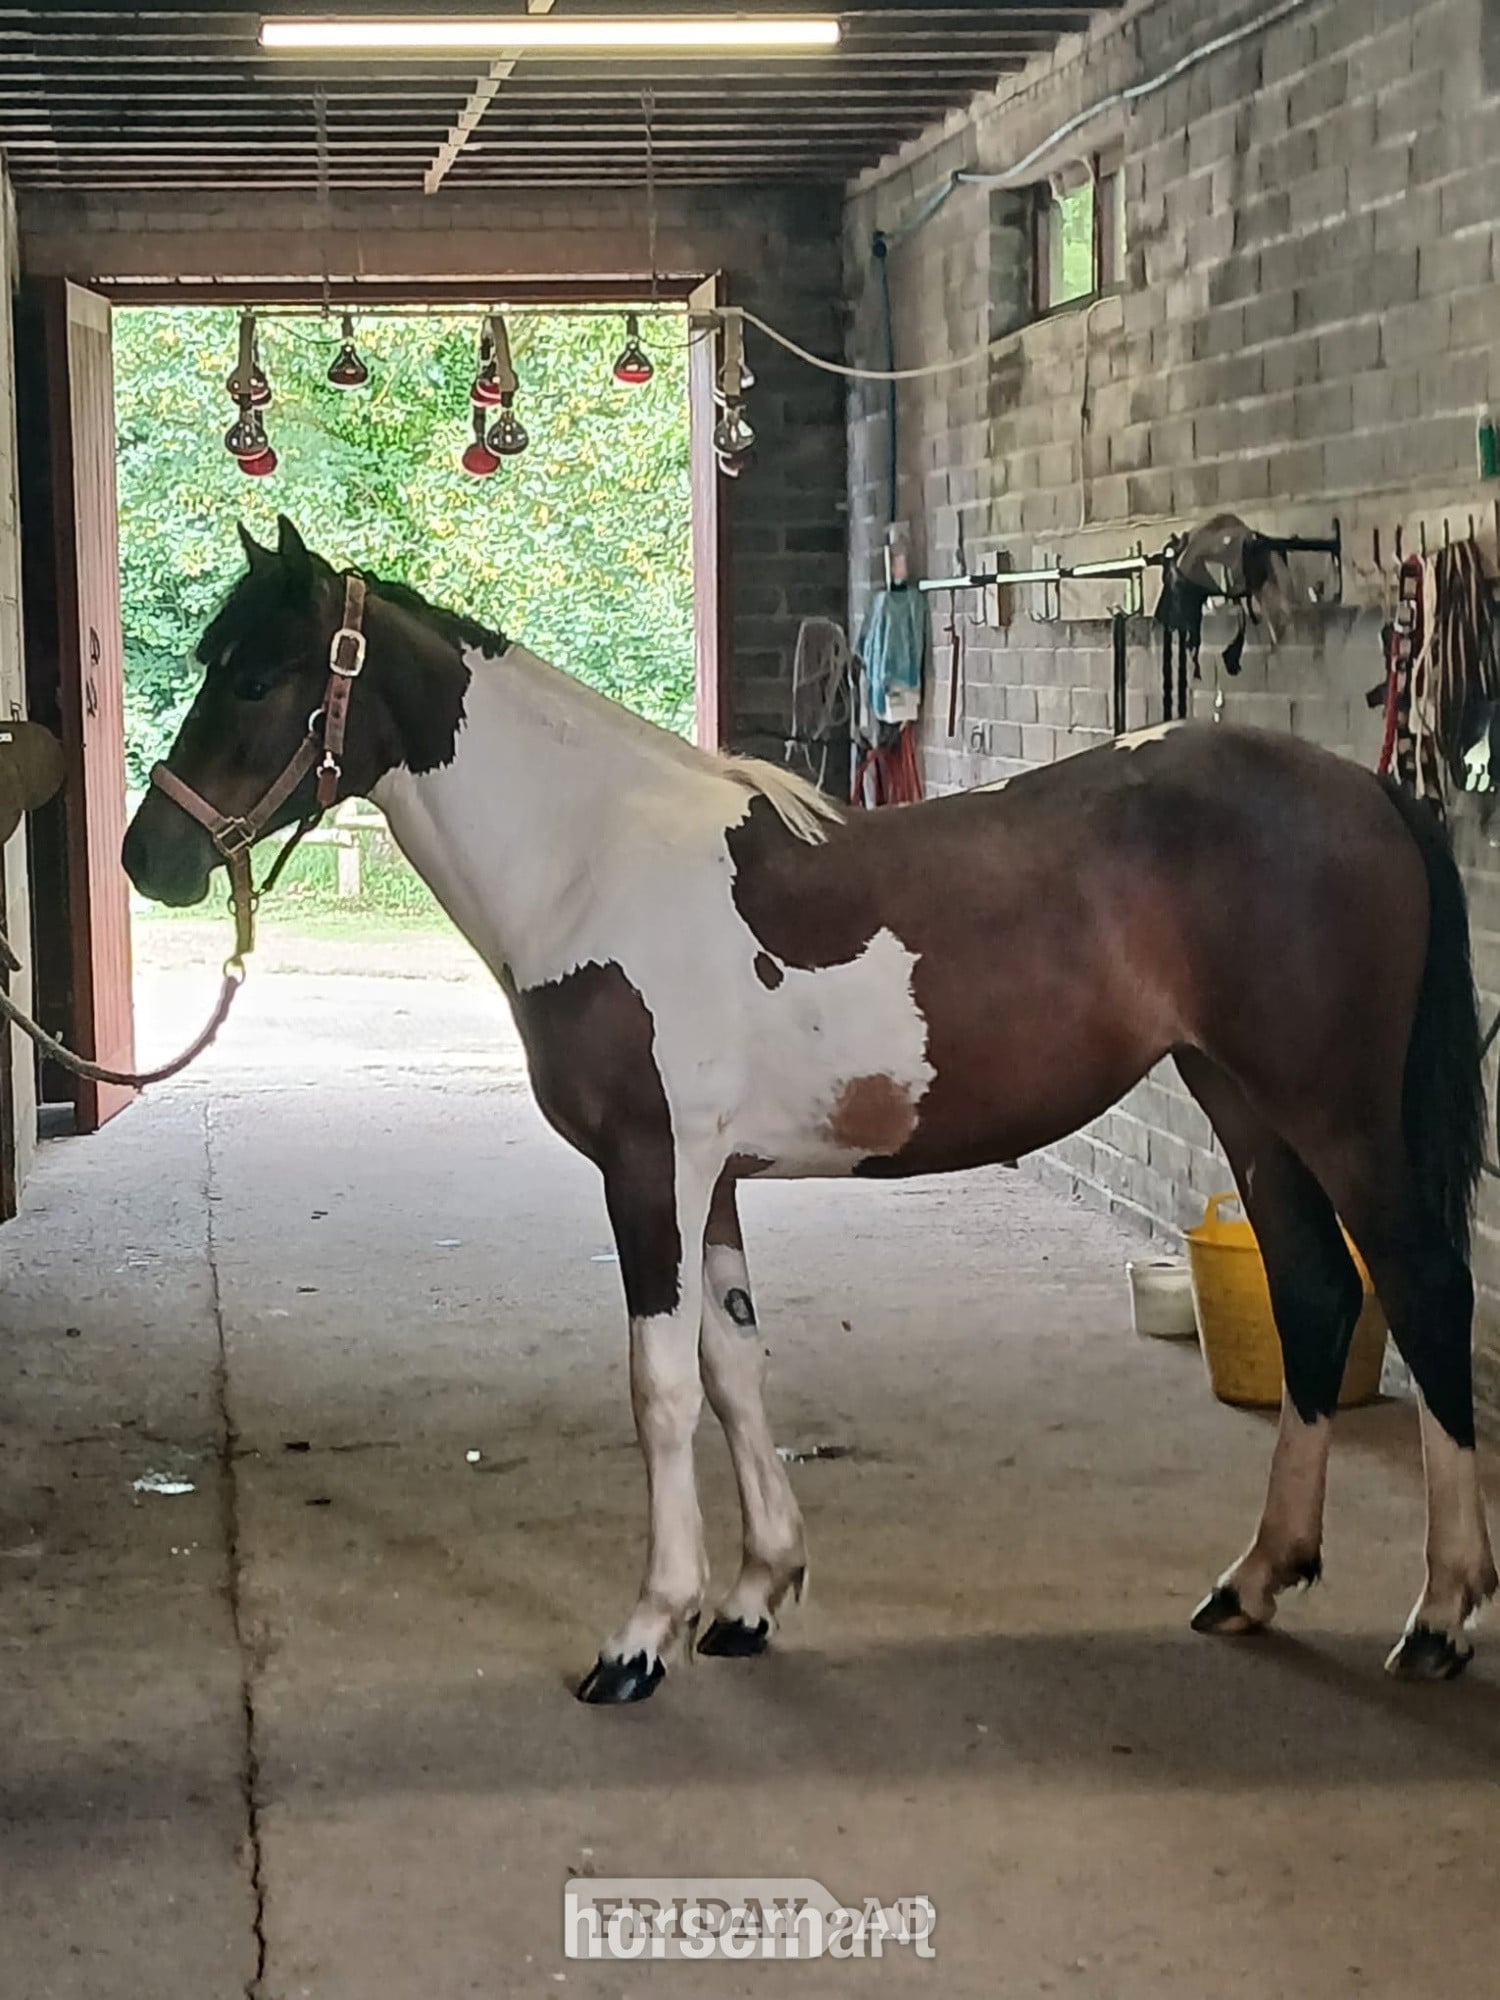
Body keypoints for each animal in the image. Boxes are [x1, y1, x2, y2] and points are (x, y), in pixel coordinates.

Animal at [124, 516, 1497, 1702]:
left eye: (257, 677)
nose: (151, 858)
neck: (589, 862)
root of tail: (1371, 794)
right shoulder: (712, 1179)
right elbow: (734, 1367)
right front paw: (752, 1594)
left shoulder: (649, 1168)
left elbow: (661, 1385)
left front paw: (644, 1632)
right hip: (1244, 1100)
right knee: (1316, 1290)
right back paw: (1257, 1578)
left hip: (1335, 1112)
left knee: (1427, 1287)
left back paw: (1439, 1612)